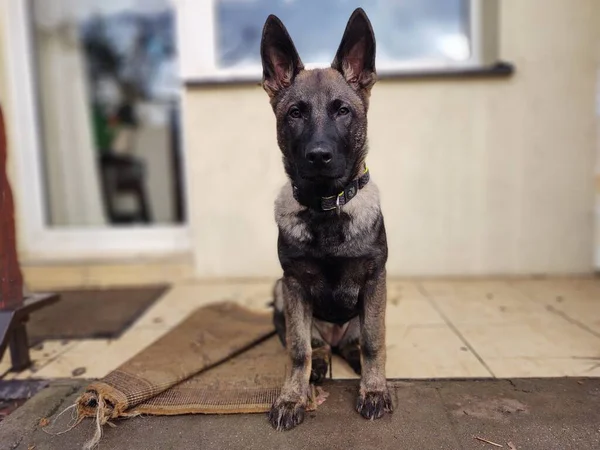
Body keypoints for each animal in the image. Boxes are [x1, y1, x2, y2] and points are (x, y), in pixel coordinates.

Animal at [258, 7, 392, 428]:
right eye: (295, 113)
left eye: (342, 111)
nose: (318, 156)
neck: (327, 206)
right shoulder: (294, 285)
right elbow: (298, 350)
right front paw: (292, 397)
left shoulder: (375, 280)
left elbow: (373, 342)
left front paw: (374, 389)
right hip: (279, 292)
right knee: (314, 347)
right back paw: (319, 364)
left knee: (357, 342)